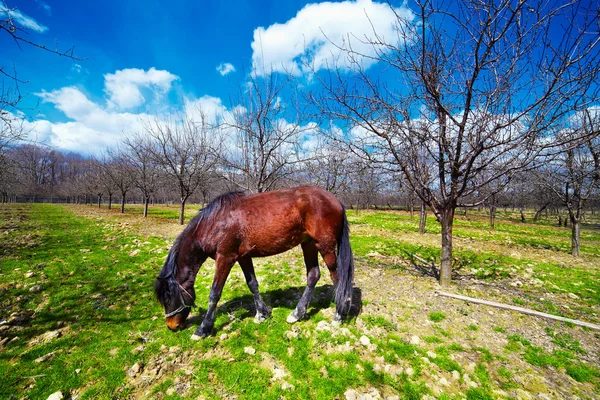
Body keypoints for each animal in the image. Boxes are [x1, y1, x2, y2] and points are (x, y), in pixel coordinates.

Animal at [152, 186, 356, 340]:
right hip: (308, 244)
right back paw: (297, 314)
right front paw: (262, 314)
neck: (214, 222)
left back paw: (338, 315)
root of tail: (336, 201)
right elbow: (252, 284)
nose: (171, 326)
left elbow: (214, 294)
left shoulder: (225, 258)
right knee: (313, 275)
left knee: (337, 278)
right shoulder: (243, 257)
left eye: (168, 296)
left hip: (325, 247)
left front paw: (203, 328)